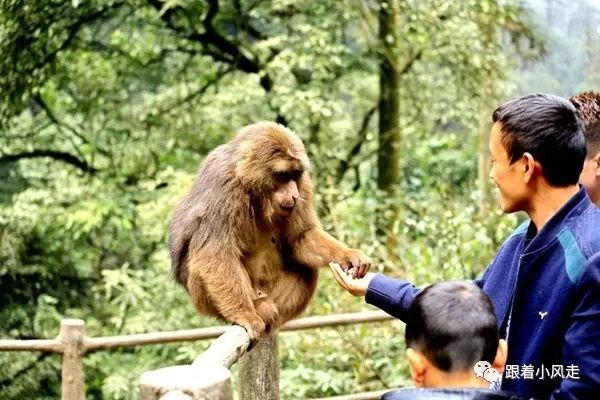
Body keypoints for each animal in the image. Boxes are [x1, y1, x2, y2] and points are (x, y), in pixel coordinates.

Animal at [169, 122, 372, 340]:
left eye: (295, 174)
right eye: (283, 175)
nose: (293, 194)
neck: (254, 190)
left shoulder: (304, 186)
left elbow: (302, 236)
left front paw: (349, 255)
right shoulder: (223, 186)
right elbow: (214, 253)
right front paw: (244, 314)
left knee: (306, 268)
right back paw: (257, 305)